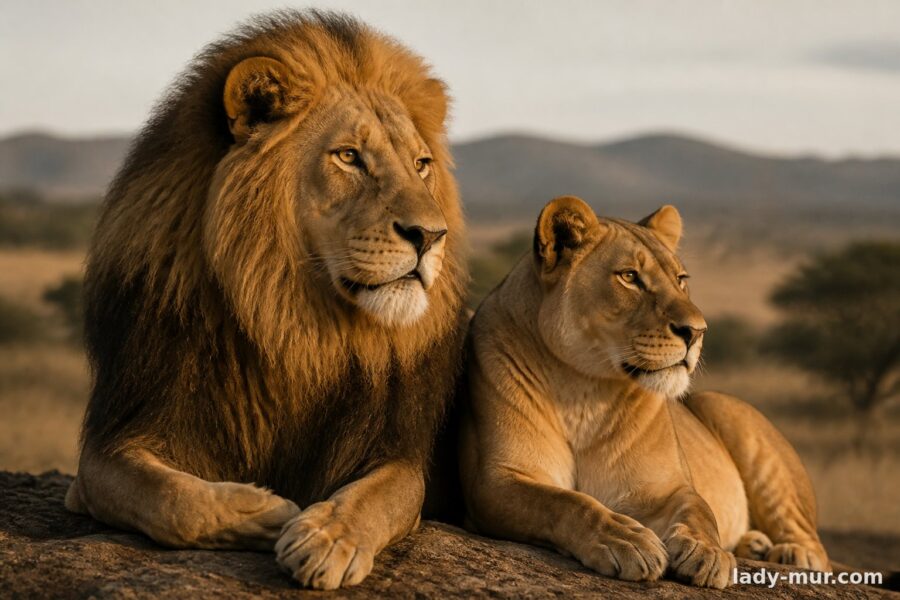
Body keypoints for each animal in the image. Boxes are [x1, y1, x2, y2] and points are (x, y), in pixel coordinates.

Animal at [64, 11, 468, 590]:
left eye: (420, 164)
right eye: (349, 157)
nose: (431, 236)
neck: (294, 322)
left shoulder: (400, 453)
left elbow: (377, 497)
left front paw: (326, 538)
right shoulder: (109, 444)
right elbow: (168, 498)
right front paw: (269, 512)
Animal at [459, 196, 829, 589]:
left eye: (681, 280)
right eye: (630, 277)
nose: (697, 331)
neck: (583, 389)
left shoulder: (667, 487)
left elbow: (700, 511)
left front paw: (708, 553)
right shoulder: (497, 480)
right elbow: (566, 503)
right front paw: (625, 540)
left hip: (726, 411)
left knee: (812, 542)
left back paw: (789, 553)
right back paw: (754, 545)